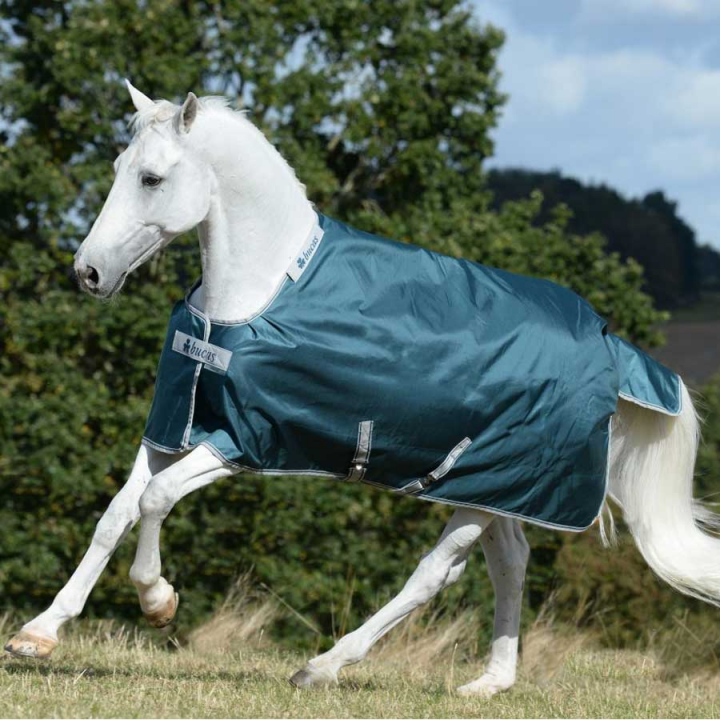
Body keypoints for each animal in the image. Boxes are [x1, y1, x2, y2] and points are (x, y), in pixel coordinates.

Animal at [5, 81, 718, 698]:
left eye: (151, 178)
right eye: (119, 166)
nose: (88, 272)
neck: (258, 291)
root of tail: (609, 345)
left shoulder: (239, 440)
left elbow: (154, 501)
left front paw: (159, 603)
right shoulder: (171, 426)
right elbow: (114, 515)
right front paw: (38, 635)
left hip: (489, 486)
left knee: (436, 573)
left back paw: (322, 667)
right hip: (495, 489)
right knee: (509, 561)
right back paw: (489, 683)